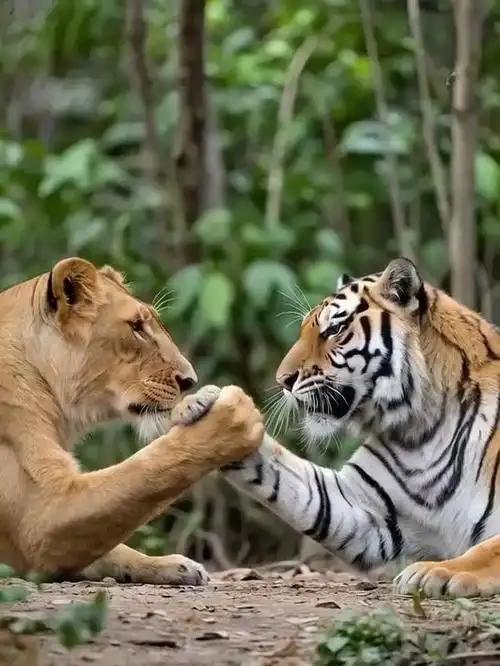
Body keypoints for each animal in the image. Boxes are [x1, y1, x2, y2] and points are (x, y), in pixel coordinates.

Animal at [220, 257, 500, 598]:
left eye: (335, 329)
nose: (283, 380)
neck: (421, 430)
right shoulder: (366, 509)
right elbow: (285, 476)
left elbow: (488, 548)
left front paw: (435, 571)